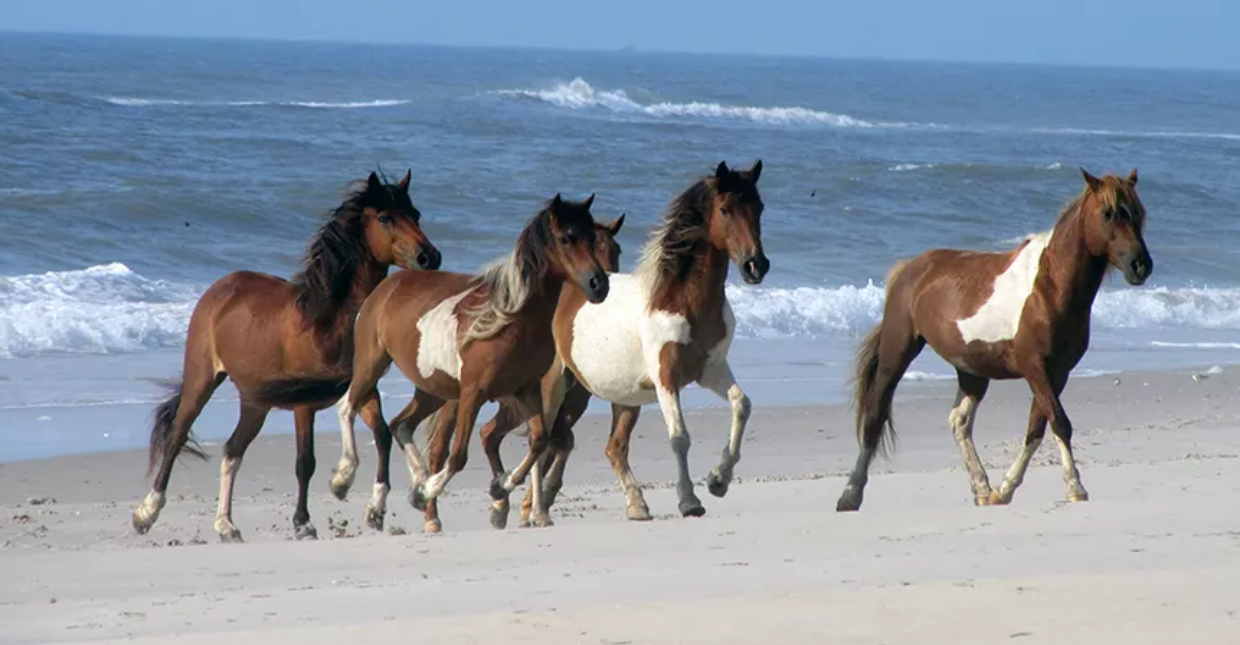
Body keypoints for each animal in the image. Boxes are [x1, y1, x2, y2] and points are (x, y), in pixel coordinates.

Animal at [130, 168, 438, 540]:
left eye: (416, 214)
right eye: (385, 217)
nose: (430, 257)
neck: (326, 320)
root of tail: (221, 287)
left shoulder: (365, 389)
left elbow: (381, 436)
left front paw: (374, 507)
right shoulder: (304, 405)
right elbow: (306, 462)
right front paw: (307, 519)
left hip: (254, 402)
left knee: (232, 451)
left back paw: (226, 525)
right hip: (202, 380)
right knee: (177, 436)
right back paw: (146, 513)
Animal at [327, 214, 624, 530]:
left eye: (616, 250)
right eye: (575, 242)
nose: (600, 286)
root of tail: (385, 287)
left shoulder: (534, 396)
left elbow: (541, 443)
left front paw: (507, 495)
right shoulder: (497, 395)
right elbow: (471, 452)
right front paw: (520, 504)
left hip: (433, 390)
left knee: (402, 424)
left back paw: (414, 490)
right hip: (375, 364)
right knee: (352, 408)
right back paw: (351, 482)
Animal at [833, 168, 1150, 511]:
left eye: (1139, 213)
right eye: (1108, 213)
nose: (1141, 265)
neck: (1049, 287)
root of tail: (909, 269)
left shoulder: (1058, 373)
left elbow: (1037, 428)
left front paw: (1005, 489)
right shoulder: (1035, 367)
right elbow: (1059, 422)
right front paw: (1075, 487)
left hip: (971, 370)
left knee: (959, 421)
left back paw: (982, 489)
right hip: (897, 352)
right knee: (875, 415)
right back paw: (850, 494)